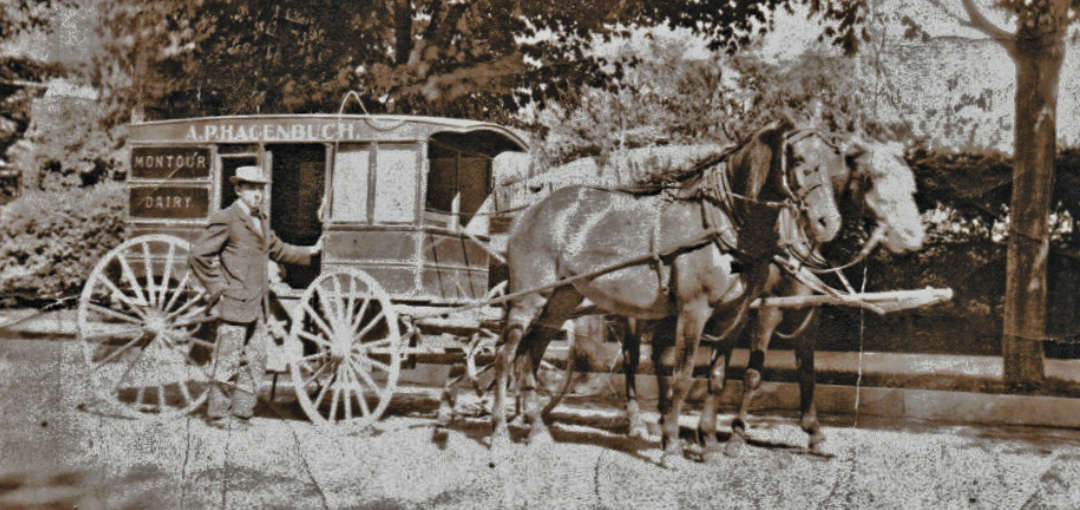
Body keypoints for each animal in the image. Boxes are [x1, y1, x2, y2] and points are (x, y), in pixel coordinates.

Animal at [492, 120, 851, 466]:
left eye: (834, 165)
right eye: (799, 160)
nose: (829, 223)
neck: (724, 225)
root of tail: (530, 211)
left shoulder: (733, 317)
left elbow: (717, 378)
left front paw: (709, 445)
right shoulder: (694, 310)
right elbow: (683, 375)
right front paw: (673, 448)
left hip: (562, 299)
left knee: (530, 356)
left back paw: (538, 430)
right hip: (527, 298)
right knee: (506, 355)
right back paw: (499, 430)